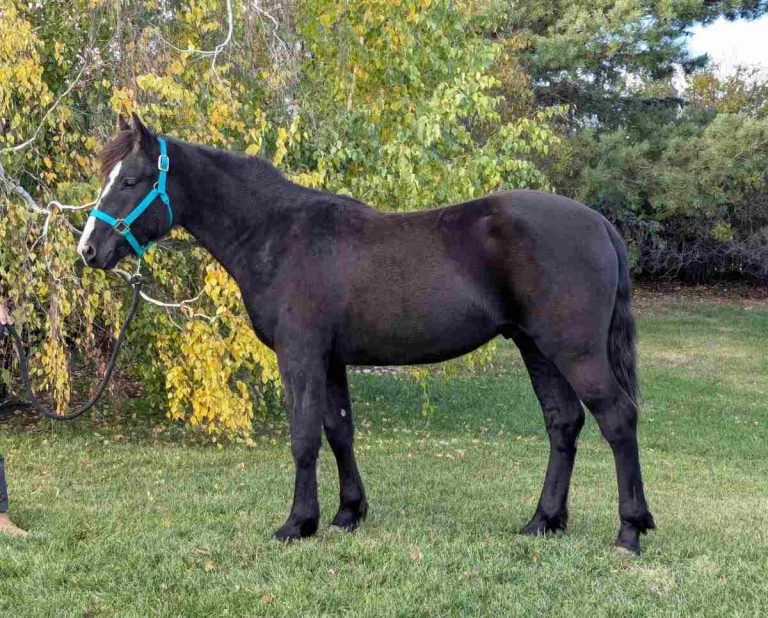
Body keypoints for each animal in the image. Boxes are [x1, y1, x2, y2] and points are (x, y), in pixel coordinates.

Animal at [78, 115, 656, 552]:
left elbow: (304, 437)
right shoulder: (331, 360)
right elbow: (339, 432)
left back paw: (629, 531)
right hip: (538, 348)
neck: (276, 234)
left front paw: (298, 523)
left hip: (574, 350)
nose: (89, 249)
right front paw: (347, 513)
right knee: (563, 424)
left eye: (129, 181)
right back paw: (543, 521)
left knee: (617, 420)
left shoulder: (301, 355)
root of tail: (599, 224)